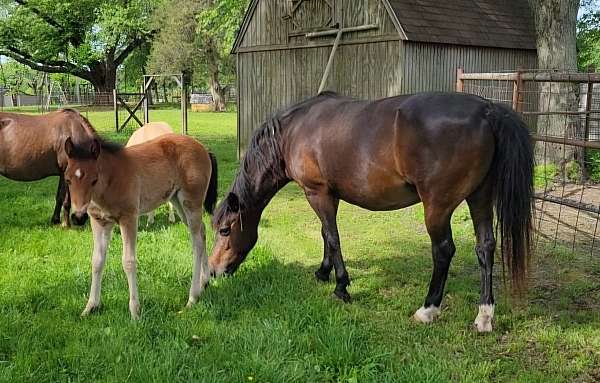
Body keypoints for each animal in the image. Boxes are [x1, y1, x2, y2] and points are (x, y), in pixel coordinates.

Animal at [64, 134, 218, 320]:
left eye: (94, 180)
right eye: (67, 180)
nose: (78, 217)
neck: (111, 179)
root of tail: (204, 148)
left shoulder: (129, 217)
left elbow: (128, 261)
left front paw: (135, 312)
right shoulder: (100, 221)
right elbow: (97, 261)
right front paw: (90, 307)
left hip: (191, 202)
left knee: (197, 244)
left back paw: (192, 297)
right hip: (177, 201)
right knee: (202, 232)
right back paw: (205, 282)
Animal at [210, 92, 536, 332]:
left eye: (225, 230)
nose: (212, 272)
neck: (293, 131)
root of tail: (486, 109)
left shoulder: (316, 192)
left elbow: (332, 236)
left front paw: (341, 287)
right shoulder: (329, 195)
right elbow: (325, 235)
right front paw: (323, 272)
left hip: (438, 206)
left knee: (444, 250)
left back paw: (428, 309)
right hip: (480, 198)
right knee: (485, 248)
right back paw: (484, 316)